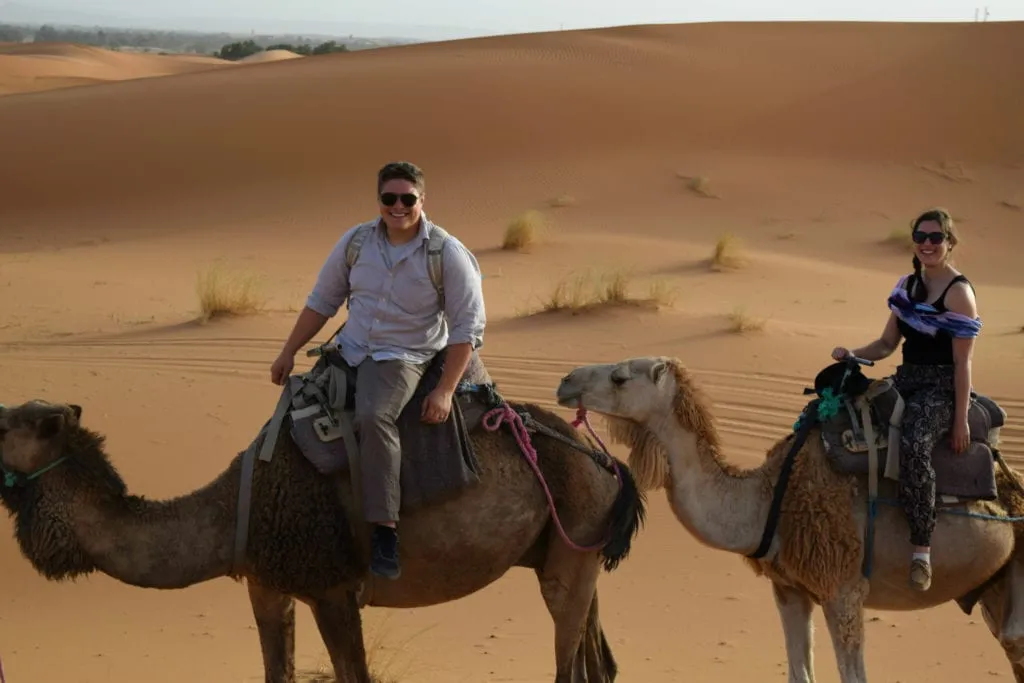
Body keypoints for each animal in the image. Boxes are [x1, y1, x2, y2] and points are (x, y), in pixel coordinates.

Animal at [0, 387, 638, 679]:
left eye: (6, 424)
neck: (236, 511)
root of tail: (606, 461)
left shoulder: (333, 590)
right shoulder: (267, 586)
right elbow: (274, 671)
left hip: (571, 545)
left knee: (568, 664)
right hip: (573, 551)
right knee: (598, 661)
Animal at [557, 356, 1024, 683]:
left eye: (620, 377)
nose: (566, 381)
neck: (766, 502)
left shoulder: (843, 589)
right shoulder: (789, 589)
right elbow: (800, 674)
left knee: (1014, 640)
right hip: (992, 585)